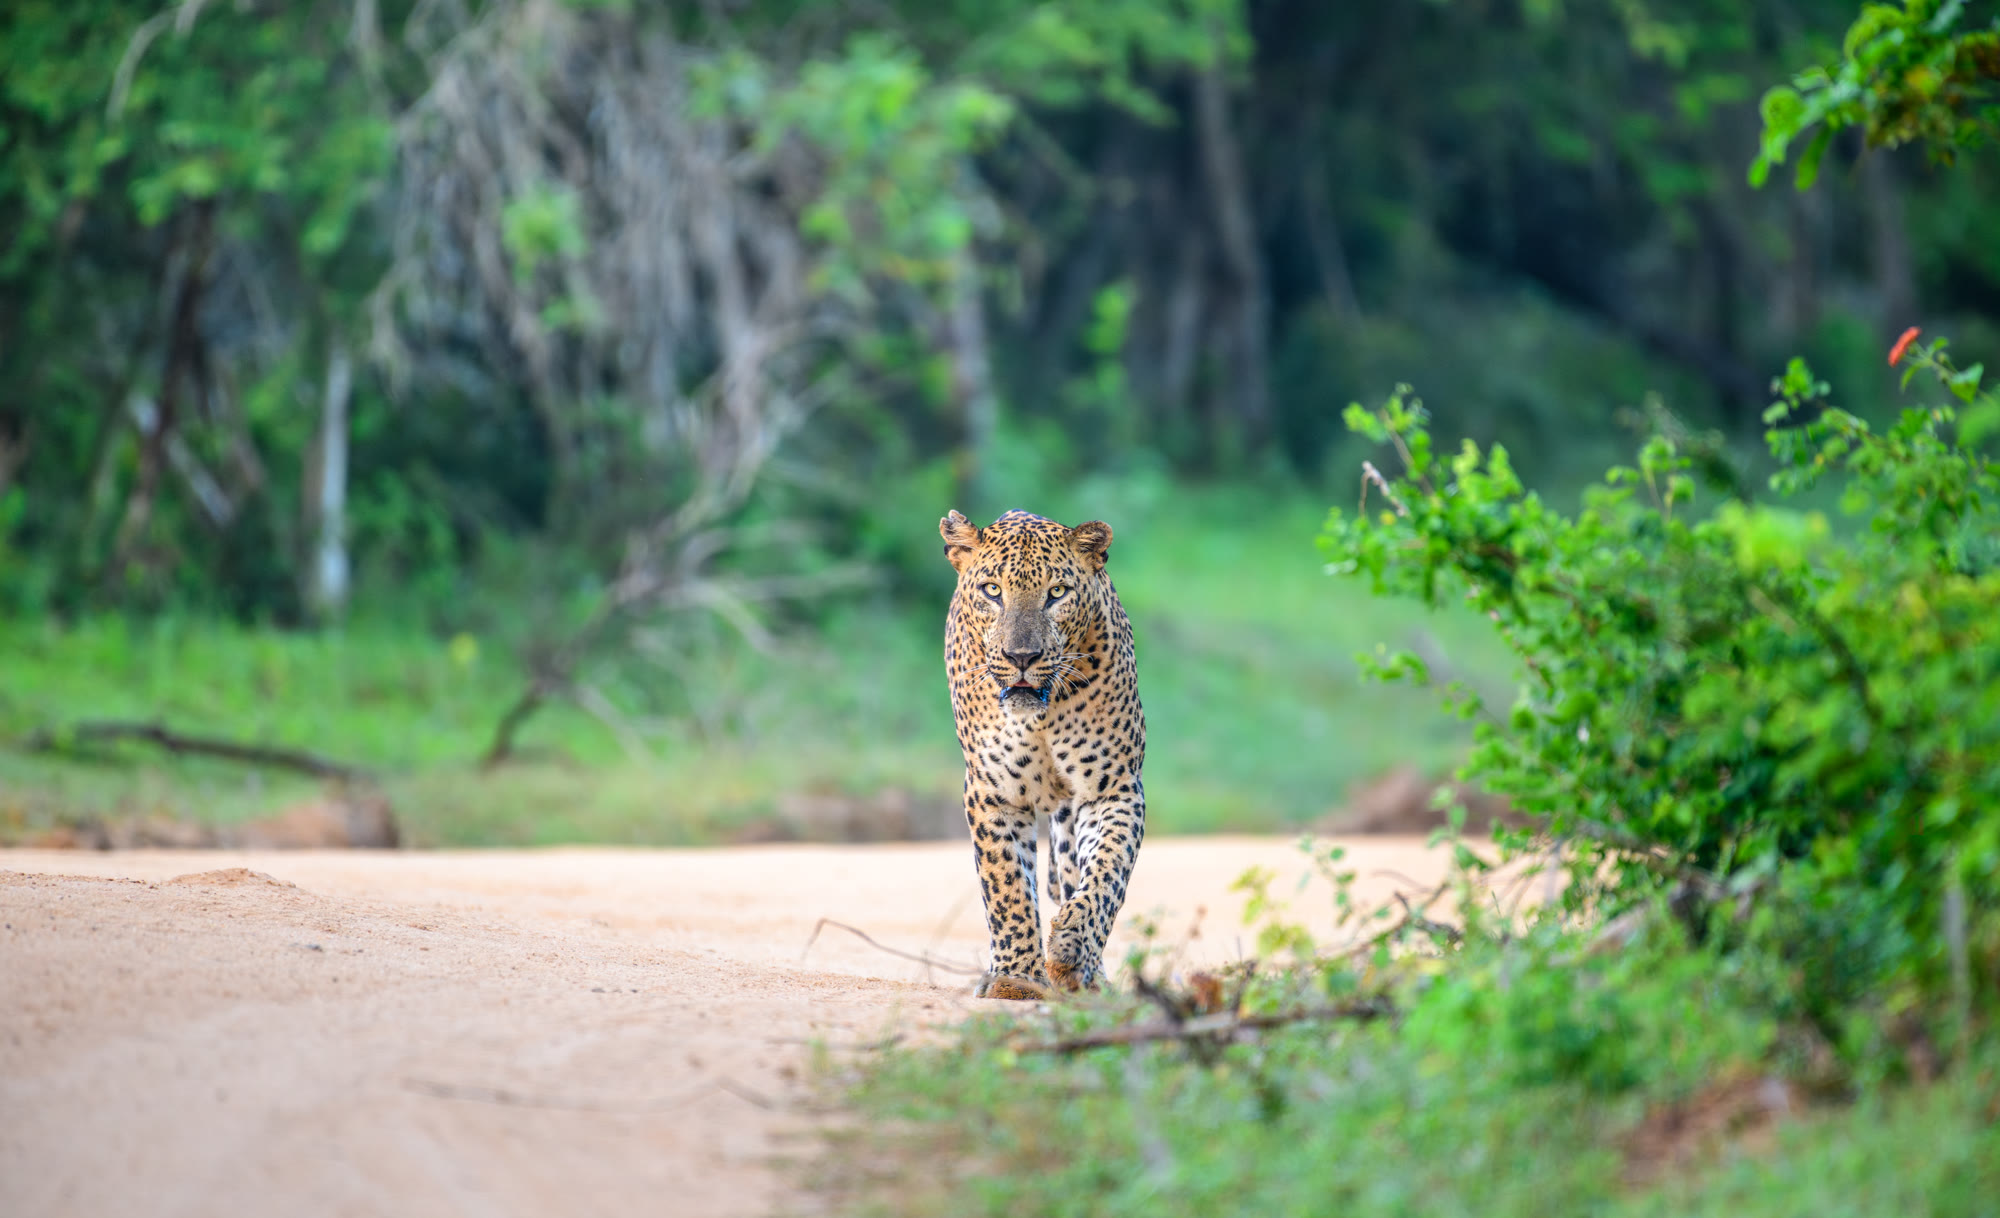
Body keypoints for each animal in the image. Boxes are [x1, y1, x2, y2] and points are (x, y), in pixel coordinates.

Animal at [940, 508, 1146, 1001]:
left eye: (1057, 593)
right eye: (992, 590)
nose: (1022, 657)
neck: (1040, 715)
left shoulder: (1113, 788)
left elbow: (1107, 873)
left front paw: (1071, 947)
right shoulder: (991, 792)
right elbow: (1007, 886)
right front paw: (1016, 979)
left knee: (1072, 874)